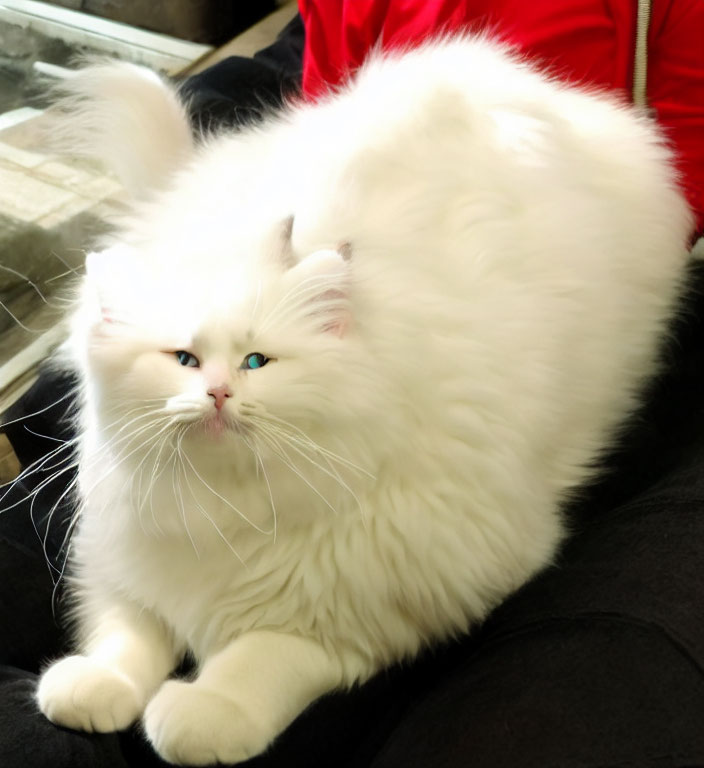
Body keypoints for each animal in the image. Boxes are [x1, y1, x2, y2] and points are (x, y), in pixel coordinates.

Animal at [35, 34, 692, 760]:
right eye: (183, 359)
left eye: (257, 361)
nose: (217, 393)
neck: (229, 513)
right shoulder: (124, 564)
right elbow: (125, 637)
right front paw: (93, 691)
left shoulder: (364, 615)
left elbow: (259, 658)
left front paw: (201, 717)